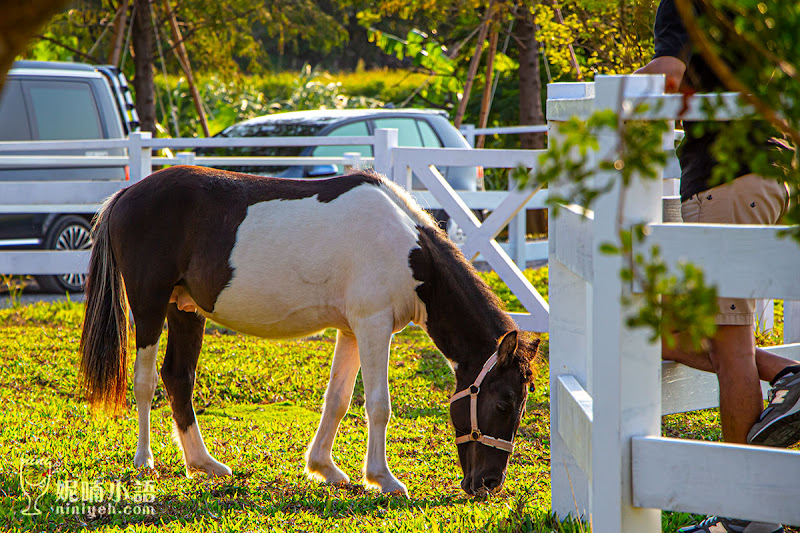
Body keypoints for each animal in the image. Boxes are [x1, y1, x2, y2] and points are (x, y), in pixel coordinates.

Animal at [79, 166, 536, 494]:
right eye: (503, 403)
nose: (489, 485)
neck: (405, 247)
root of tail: (126, 195)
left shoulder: (352, 330)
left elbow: (338, 400)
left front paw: (324, 468)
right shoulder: (373, 325)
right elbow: (378, 405)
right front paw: (383, 479)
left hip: (185, 308)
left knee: (178, 377)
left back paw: (203, 464)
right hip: (150, 305)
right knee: (145, 381)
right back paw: (145, 460)